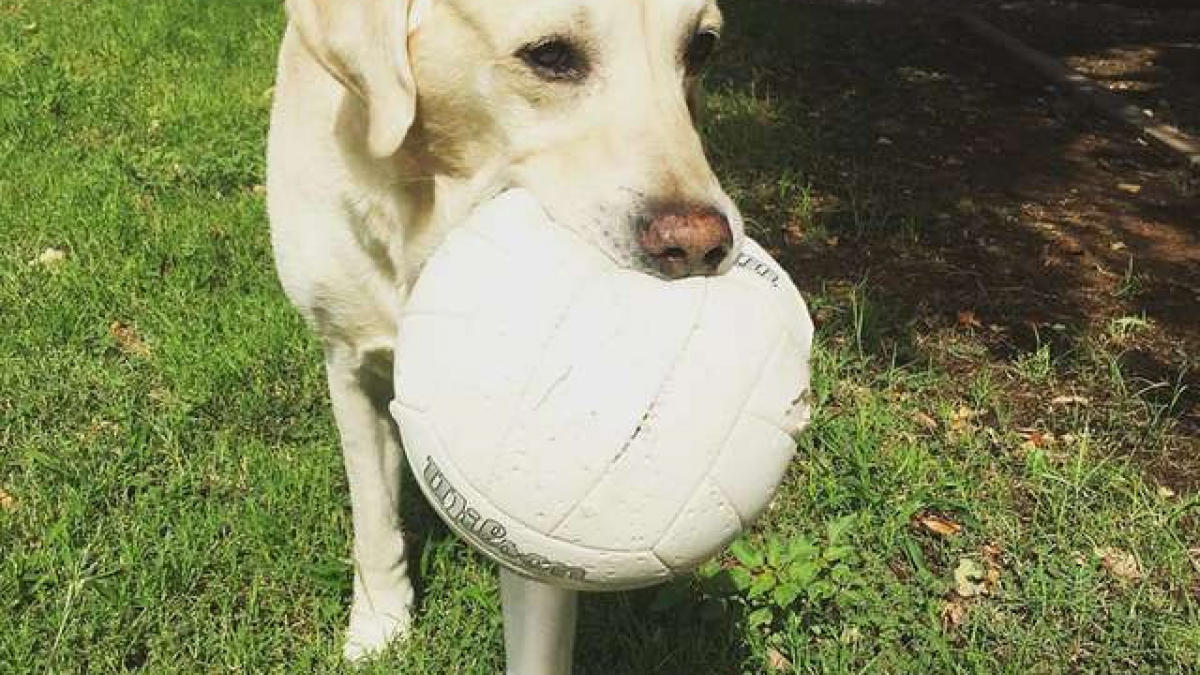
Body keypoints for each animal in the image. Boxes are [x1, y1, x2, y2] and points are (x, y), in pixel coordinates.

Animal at [267, 0, 744, 662]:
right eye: (550, 55)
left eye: (701, 47)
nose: (701, 246)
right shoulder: (348, 361)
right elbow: (374, 519)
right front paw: (379, 627)